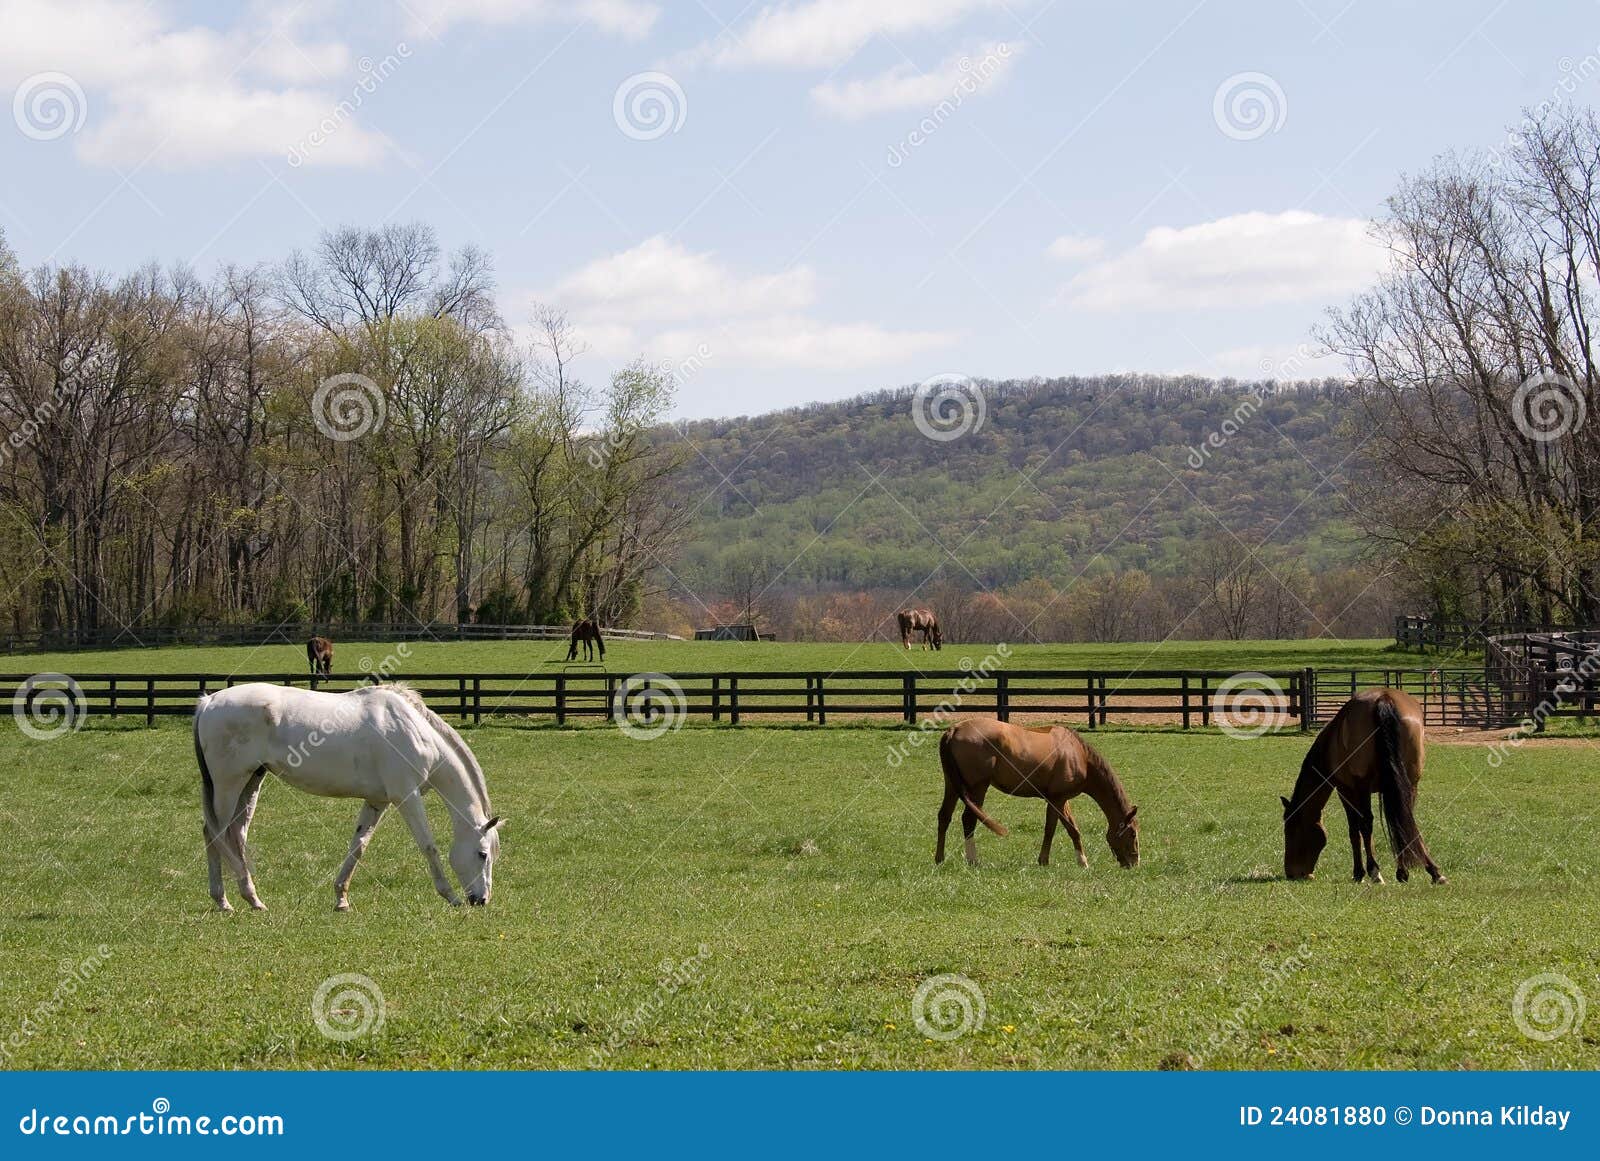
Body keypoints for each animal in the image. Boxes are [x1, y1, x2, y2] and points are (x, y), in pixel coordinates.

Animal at [192, 682, 503, 912]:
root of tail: (208, 702)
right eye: (482, 854)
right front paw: (450, 895)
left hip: (251, 782)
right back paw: (241, 899)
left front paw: (341, 898)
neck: (415, 732)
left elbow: (358, 846)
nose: (481, 900)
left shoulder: (378, 801)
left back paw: (233, 900)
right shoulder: (406, 796)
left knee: (234, 835)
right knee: (215, 833)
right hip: (228, 784)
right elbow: (428, 846)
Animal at [936, 718, 1140, 870]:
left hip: (952, 785)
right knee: (968, 819)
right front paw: (1050, 861)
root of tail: (954, 730)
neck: (1079, 755)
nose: (1134, 863)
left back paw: (939, 859)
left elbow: (1071, 829)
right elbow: (1055, 829)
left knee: (944, 816)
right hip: (978, 787)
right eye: (1132, 834)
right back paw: (973, 860)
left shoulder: (1060, 799)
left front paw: (1079, 861)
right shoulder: (1057, 800)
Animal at [1282, 688, 1444, 884]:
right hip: (1410, 783)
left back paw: (1375, 871)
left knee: (1368, 824)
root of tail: (1384, 698)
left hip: (1364, 787)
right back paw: (1425, 872)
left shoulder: (1345, 790)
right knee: (1404, 820)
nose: (1291, 873)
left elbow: (1354, 829)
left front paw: (1360, 872)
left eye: (1290, 831)